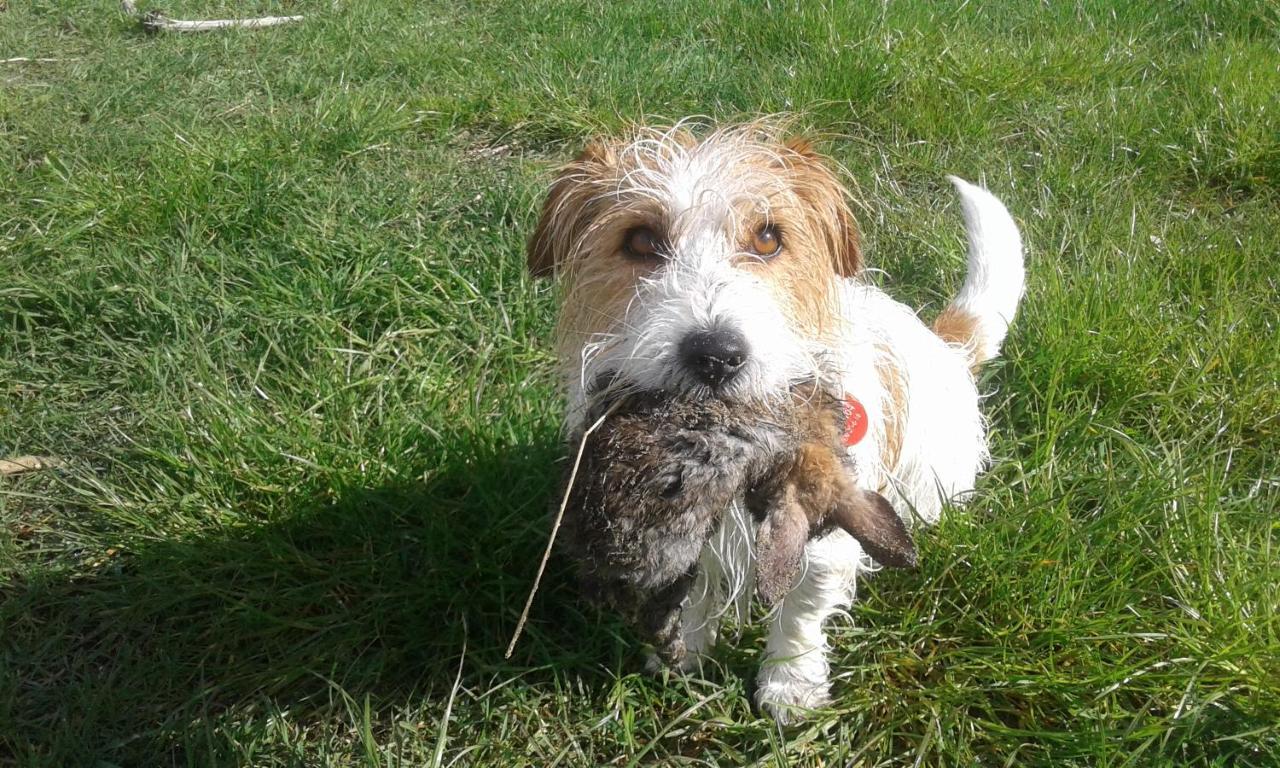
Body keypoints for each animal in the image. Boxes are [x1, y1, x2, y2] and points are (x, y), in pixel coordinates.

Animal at [524, 118, 1024, 721]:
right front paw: (686, 652)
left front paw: (790, 684)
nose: (715, 355)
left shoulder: (828, 528)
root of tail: (946, 348)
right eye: (640, 239)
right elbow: (692, 586)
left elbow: (801, 612)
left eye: (767, 239)